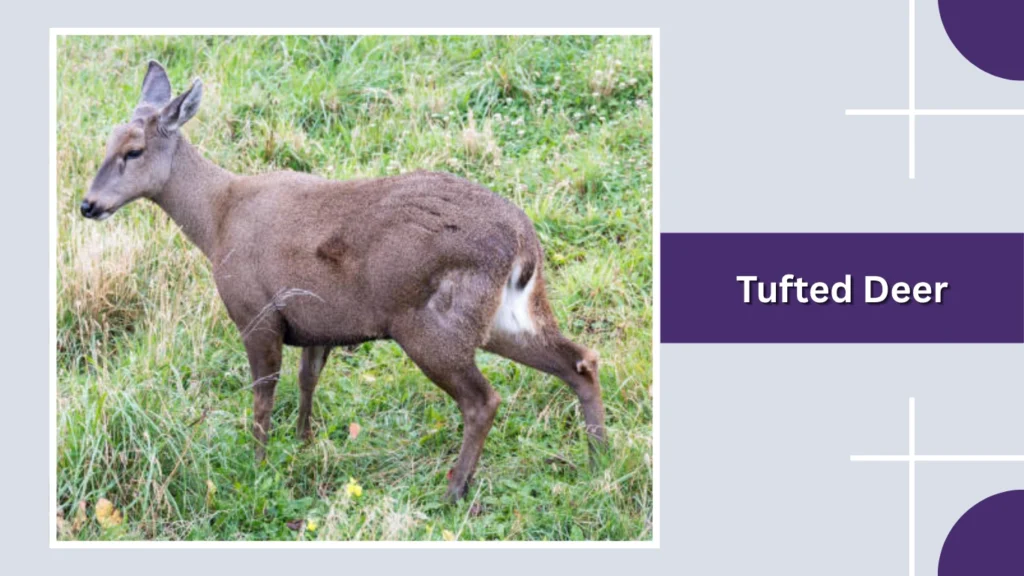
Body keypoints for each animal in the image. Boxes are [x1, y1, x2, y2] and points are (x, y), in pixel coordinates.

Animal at [79, 61, 607, 502]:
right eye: (104, 144)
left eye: (133, 150)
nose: (88, 204)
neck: (217, 221)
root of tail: (524, 243)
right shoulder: (315, 323)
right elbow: (307, 380)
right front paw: (304, 442)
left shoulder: (256, 313)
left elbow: (263, 395)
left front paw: (258, 464)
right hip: (506, 317)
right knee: (580, 360)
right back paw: (598, 460)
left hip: (431, 322)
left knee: (483, 400)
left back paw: (455, 489)